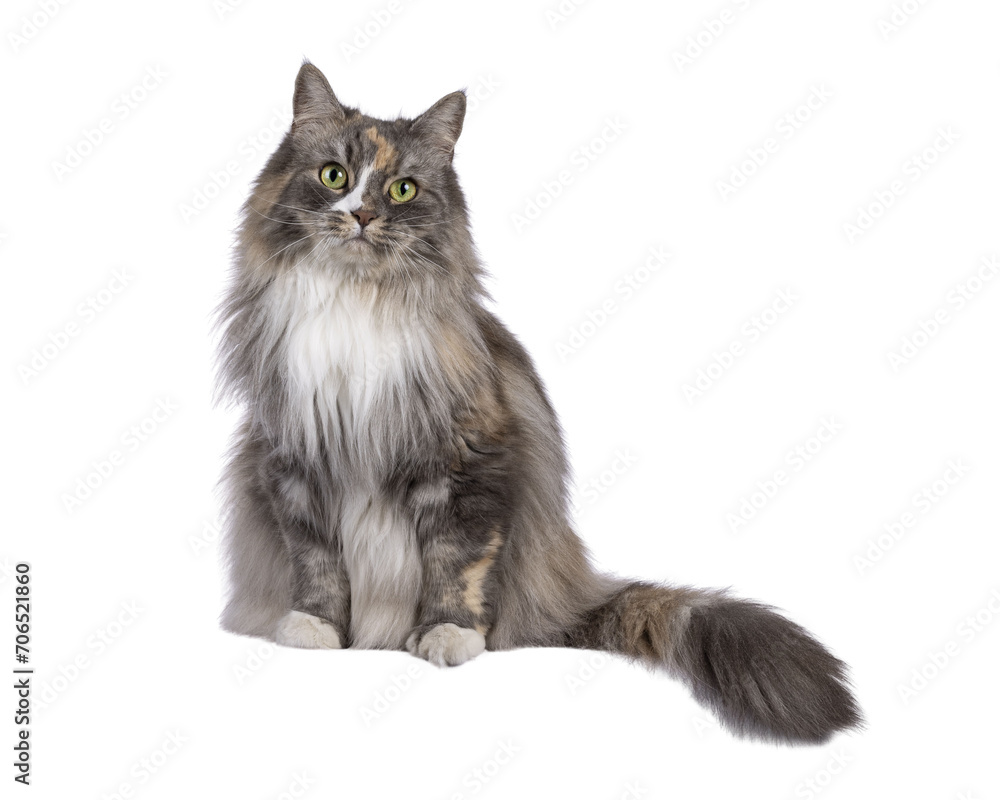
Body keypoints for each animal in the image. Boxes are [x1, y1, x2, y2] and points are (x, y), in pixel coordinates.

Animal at [215, 61, 864, 744]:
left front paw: (446, 636)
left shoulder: (471, 460)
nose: (362, 214)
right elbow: (316, 559)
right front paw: (315, 629)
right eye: (334, 175)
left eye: (402, 190)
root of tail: (574, 589)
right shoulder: (293, 459)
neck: (356, 306)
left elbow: (456, 562)